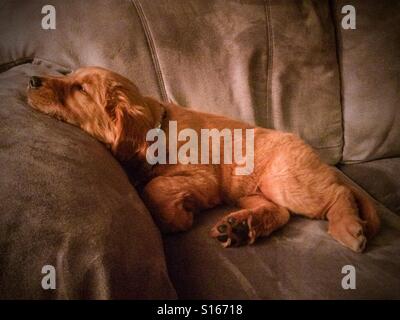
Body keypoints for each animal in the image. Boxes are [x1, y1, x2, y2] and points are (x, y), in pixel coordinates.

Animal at [26, 66, 380, 251]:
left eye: (81, 89)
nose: (31, 80)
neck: (157, 129)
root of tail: (322, 163)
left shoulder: (204, 178)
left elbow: (154, 188)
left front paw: (176, 216)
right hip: (250, 190)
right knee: (281, 212)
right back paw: (241, 228)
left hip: (285, 180)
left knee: (338, 194)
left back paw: (348, 227)